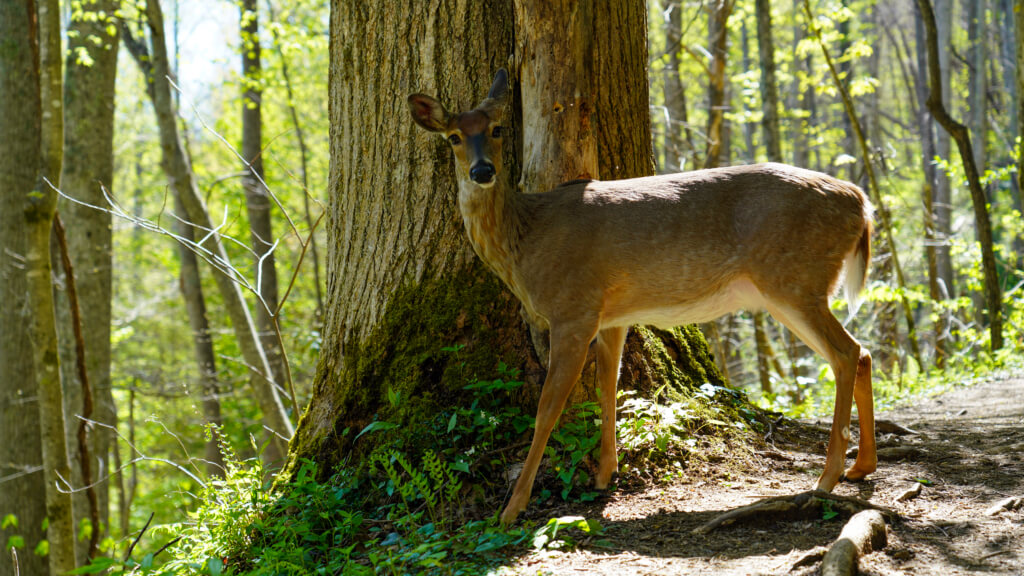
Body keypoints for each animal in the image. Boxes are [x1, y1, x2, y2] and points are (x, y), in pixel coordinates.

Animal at [408, 69, 877, 525]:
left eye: (498, 129)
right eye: (454, 136)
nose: (482, 171)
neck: (524, 240)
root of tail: (861, 203)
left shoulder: (573, 309)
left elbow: (547, 408)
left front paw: (511, 509)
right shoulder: (612, 315)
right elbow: (607, 388)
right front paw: (604, 475)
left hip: (795, 279)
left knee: (846, 353)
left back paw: (828, 477)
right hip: (790, 288)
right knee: (862, 353)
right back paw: (861, 467)